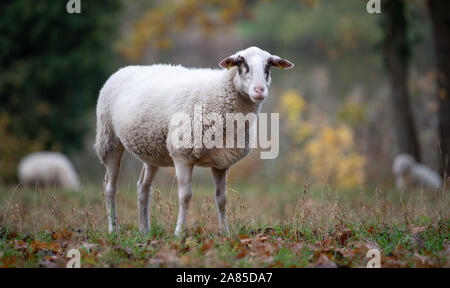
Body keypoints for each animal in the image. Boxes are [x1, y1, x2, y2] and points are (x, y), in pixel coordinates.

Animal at [94, 46, 296, 235]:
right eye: (241, 62)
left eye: (268, 65)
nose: (259, 90)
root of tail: (122, 70)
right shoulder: (182, 156)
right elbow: (185, 197)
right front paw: (178, 233)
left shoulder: (222, 162)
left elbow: (221, 200)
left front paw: (225, 233)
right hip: (109, 139)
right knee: (110, 186)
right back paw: (113, 229)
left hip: (151, 151)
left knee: (143, 186)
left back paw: (145, 230)